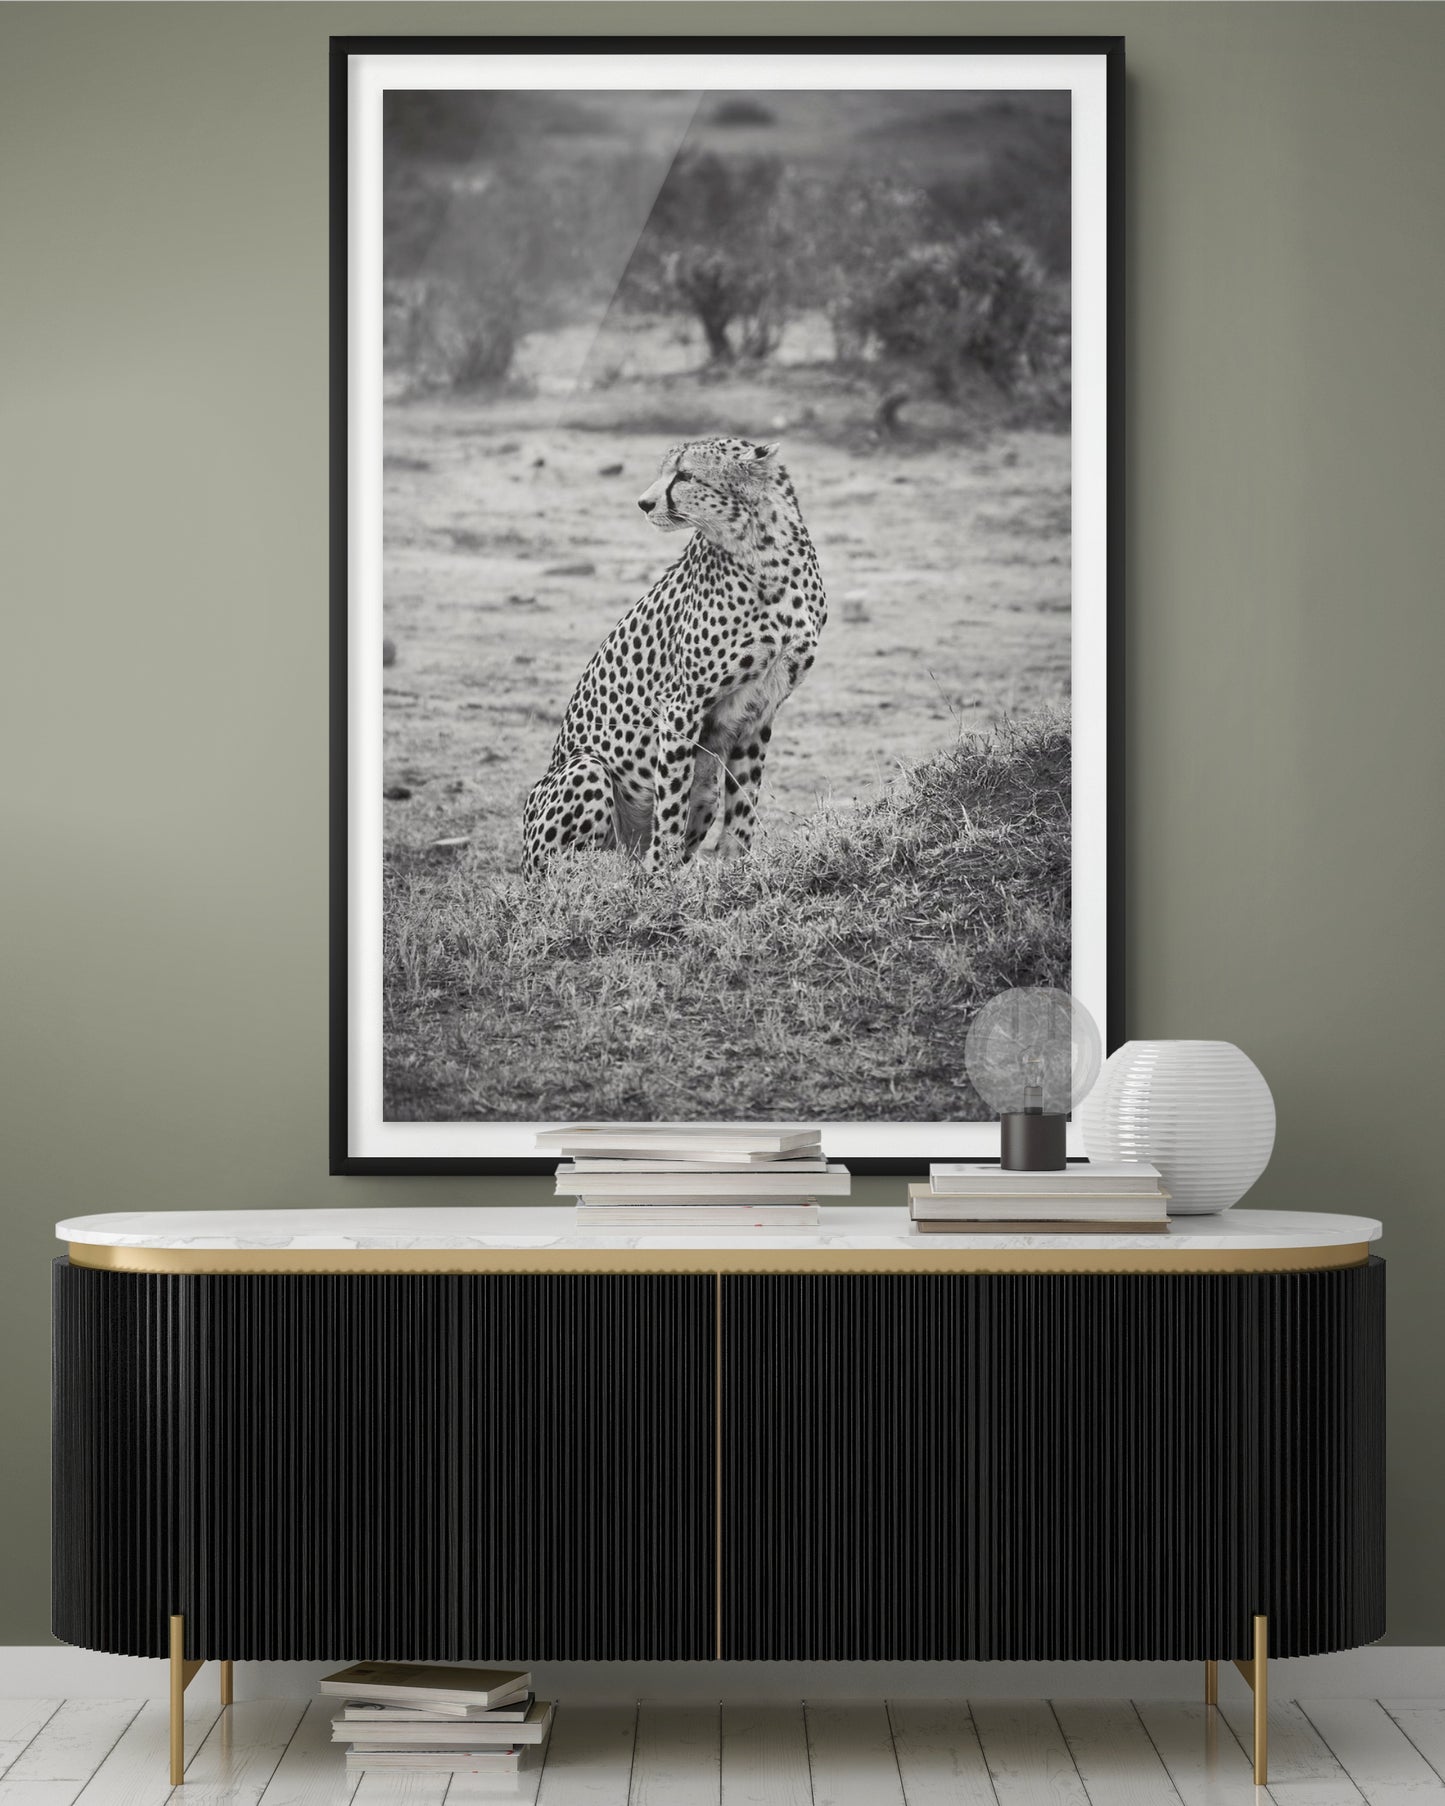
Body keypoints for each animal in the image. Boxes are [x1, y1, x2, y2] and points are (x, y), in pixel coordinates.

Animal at [522, 437, 827, 876]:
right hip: (584, 770)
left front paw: (736, 869)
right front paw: (660, 874)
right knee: (570, 873)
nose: (643, 503)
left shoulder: (761, 709)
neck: (763, 552)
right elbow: (670, 801)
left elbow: (744, 803)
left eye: (684, 475)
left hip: (706, 790)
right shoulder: (683, 705)